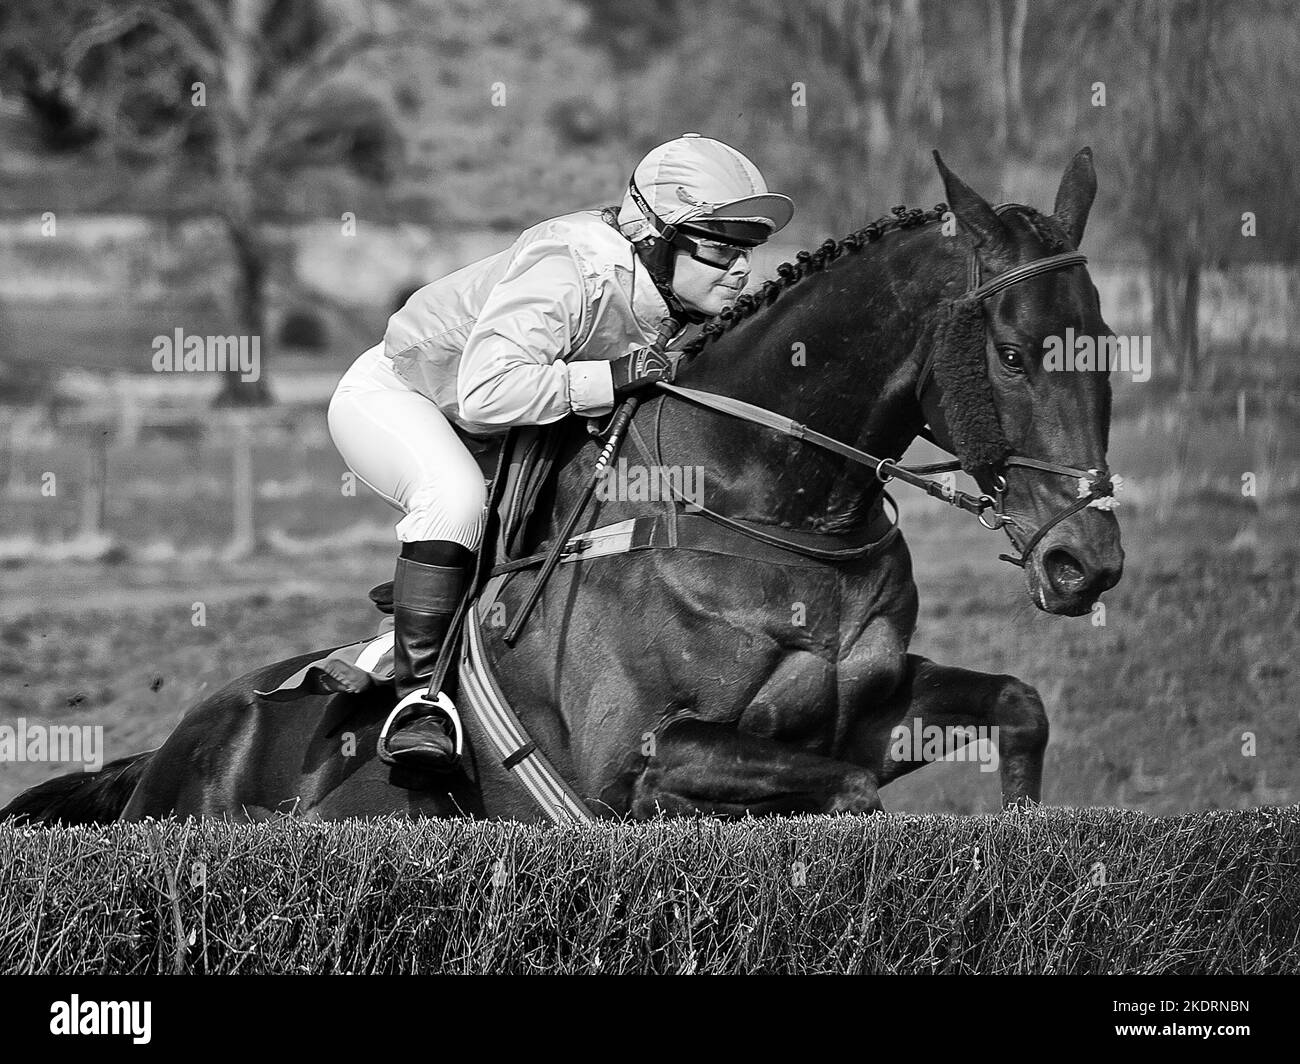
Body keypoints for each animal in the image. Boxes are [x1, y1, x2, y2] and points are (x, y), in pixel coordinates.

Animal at [2, 153, 1118, 827]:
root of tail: (169, 748)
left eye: (1105, 343)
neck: (766, 503)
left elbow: (1018, 706)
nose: (1087, 562)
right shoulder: (638, 761)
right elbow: (840, 793)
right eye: (1012, 354)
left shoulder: (874, 712)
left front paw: (1025, 824)